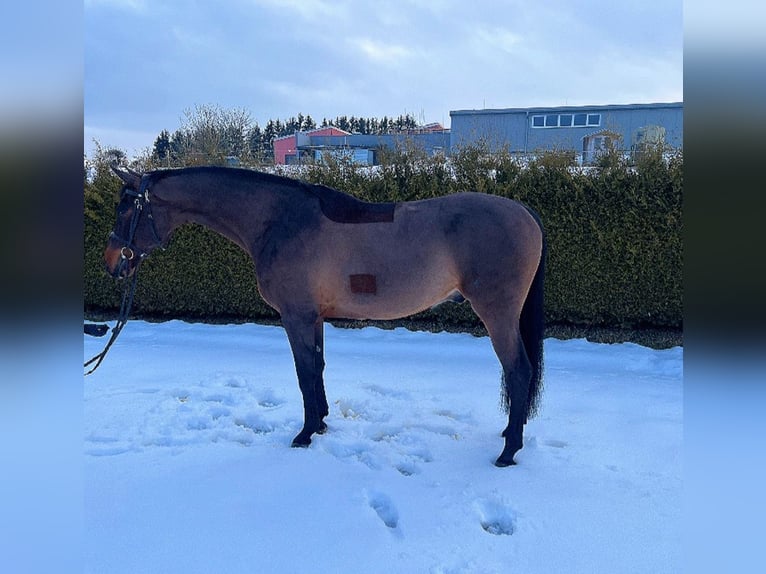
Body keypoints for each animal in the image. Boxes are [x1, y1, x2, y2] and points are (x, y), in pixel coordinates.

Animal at [104, 165, 546, 467]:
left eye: (126, 210)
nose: (111, 263)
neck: (279, 221)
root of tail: (524, 212)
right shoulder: (314, 317)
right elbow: (317, 368)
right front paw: (320, 425)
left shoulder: (295, 316)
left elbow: (304, 373)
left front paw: (304, 434)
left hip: (497, 314)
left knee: (517, 370)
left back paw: (508, 451)